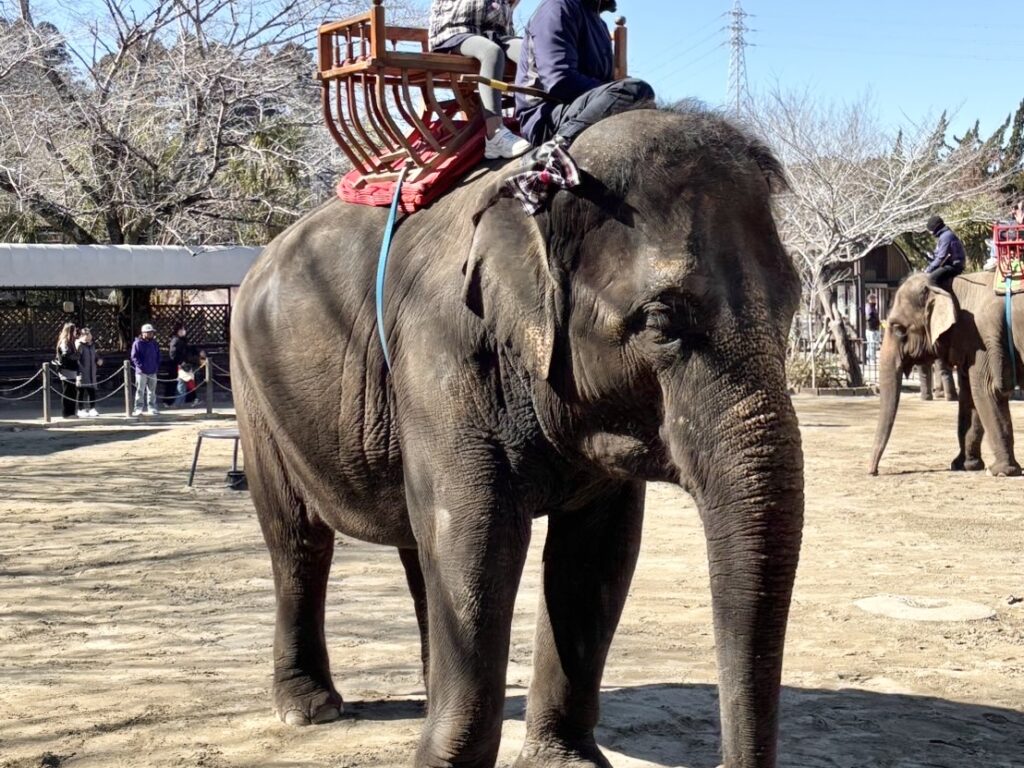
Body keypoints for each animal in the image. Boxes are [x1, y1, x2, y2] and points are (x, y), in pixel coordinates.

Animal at [232, 108, 806, 768]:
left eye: (793, 307)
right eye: (662, 321)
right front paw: (443, 764)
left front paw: (566, 761)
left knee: (415, 540)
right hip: (255, 392)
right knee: (297, 539)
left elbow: (597, 554)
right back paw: (310, 709)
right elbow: (476, 537)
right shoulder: (441, 353)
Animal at [868, 270, 1019, 475]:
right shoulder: (971, 344)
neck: (945, 286)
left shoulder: (984, 339)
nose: (873, 472)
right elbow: (969, 397)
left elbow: (988, 390)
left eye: (899, 329)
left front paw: (1000, 471)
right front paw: (964, 466)